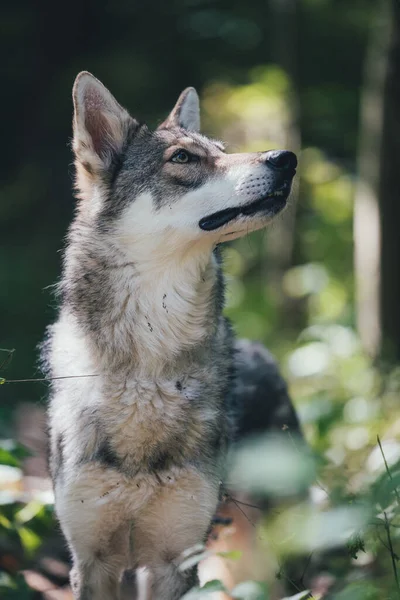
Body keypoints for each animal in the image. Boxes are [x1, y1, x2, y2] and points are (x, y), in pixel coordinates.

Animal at [42, 71, 300, 600]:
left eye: (222, 151)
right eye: (183, 158)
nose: (286, 158)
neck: (149, 371)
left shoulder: (174, 562)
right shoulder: (93, 563)